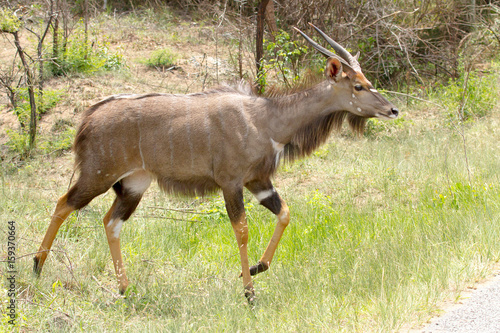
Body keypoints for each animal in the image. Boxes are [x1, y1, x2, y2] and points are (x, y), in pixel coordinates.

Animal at [33, 22, 398, 298]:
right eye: (358, 86)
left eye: (367, 81)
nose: (393, 109)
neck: (266, 120)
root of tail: (88, 118)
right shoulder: (231, 183)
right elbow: (242, 230)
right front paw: (249, 292)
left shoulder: (259, 181)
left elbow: (285, 214)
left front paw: (257, 268)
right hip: (98, 176)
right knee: (63, 203)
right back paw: (36, 266)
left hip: (134, 184)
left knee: (110, 221)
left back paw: (125, 288)